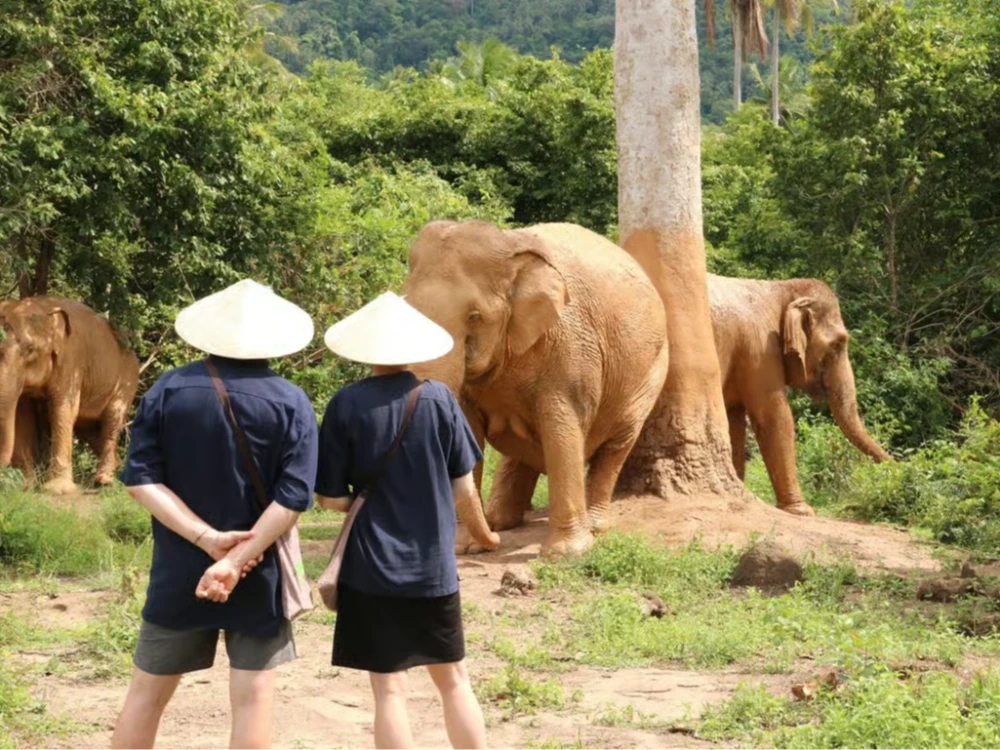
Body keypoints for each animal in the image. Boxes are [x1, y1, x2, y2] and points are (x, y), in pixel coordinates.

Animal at [0, 296, 140, 494]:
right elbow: (21, 415)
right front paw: (26, 486)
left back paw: (105, 481)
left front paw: (56, 489)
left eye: (30, 349)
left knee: (112, 419)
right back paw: (118, 474)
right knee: (91, 431)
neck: (43, 307)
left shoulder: (71, 360)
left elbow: (62, 409)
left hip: (127, 380)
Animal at [403, 221, 670, 557]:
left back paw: (593, 526)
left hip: (650, 374)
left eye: (475, 317)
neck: (511, 251)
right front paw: (463, 548)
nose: (494, 543)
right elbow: (468, 431)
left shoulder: (571, 350)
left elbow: (561, 430)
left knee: (616, 446)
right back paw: (500, 521)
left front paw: (566, 554)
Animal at [708, 275, 891, 515]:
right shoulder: (761, 350)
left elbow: (734, 421)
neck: (781, 288)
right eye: (838, 343)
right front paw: (801, 510)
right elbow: (774, 417)